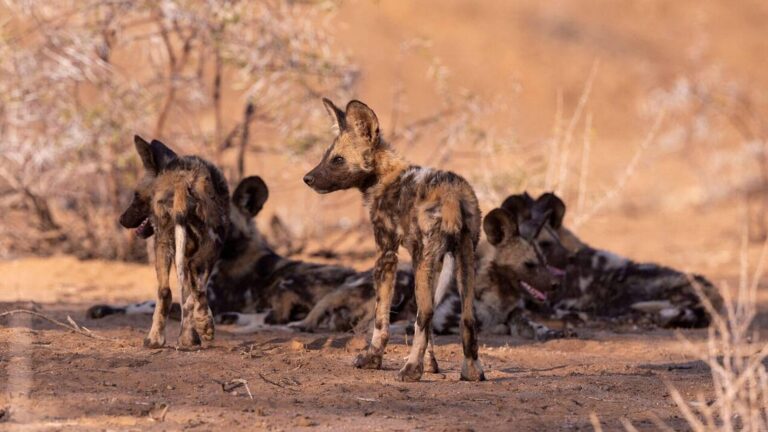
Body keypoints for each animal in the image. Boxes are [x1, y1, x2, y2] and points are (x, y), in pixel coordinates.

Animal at [93, 174, 416, 332]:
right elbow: (142, 302)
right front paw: (105, 308)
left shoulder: (211, 300)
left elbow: (164, 305)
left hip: (296, 283)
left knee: (283, 319)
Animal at [119, 136, 228, 348]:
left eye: (136, 195)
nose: (121, 219)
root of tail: (182, 180)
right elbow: (188, 295)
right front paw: (191, 336)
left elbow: (181, 293)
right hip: (208, 243)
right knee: (187, 286)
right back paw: (200, 328)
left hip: (164, 243)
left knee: (167, 290)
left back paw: (155, 339)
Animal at [304, 98, 484, 382]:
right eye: (326, 156)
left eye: (338, 160)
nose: (308, 178)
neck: (384, 176)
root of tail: (452, 194)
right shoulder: (431, 260)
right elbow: (428, 324)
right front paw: (431, 364)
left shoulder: (386, 253)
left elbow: (381, 317)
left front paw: (372, 358)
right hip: (463, 259)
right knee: (466, 317)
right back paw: (472, 371)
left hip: (428, 260)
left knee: (425, 314)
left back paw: (410, 370)